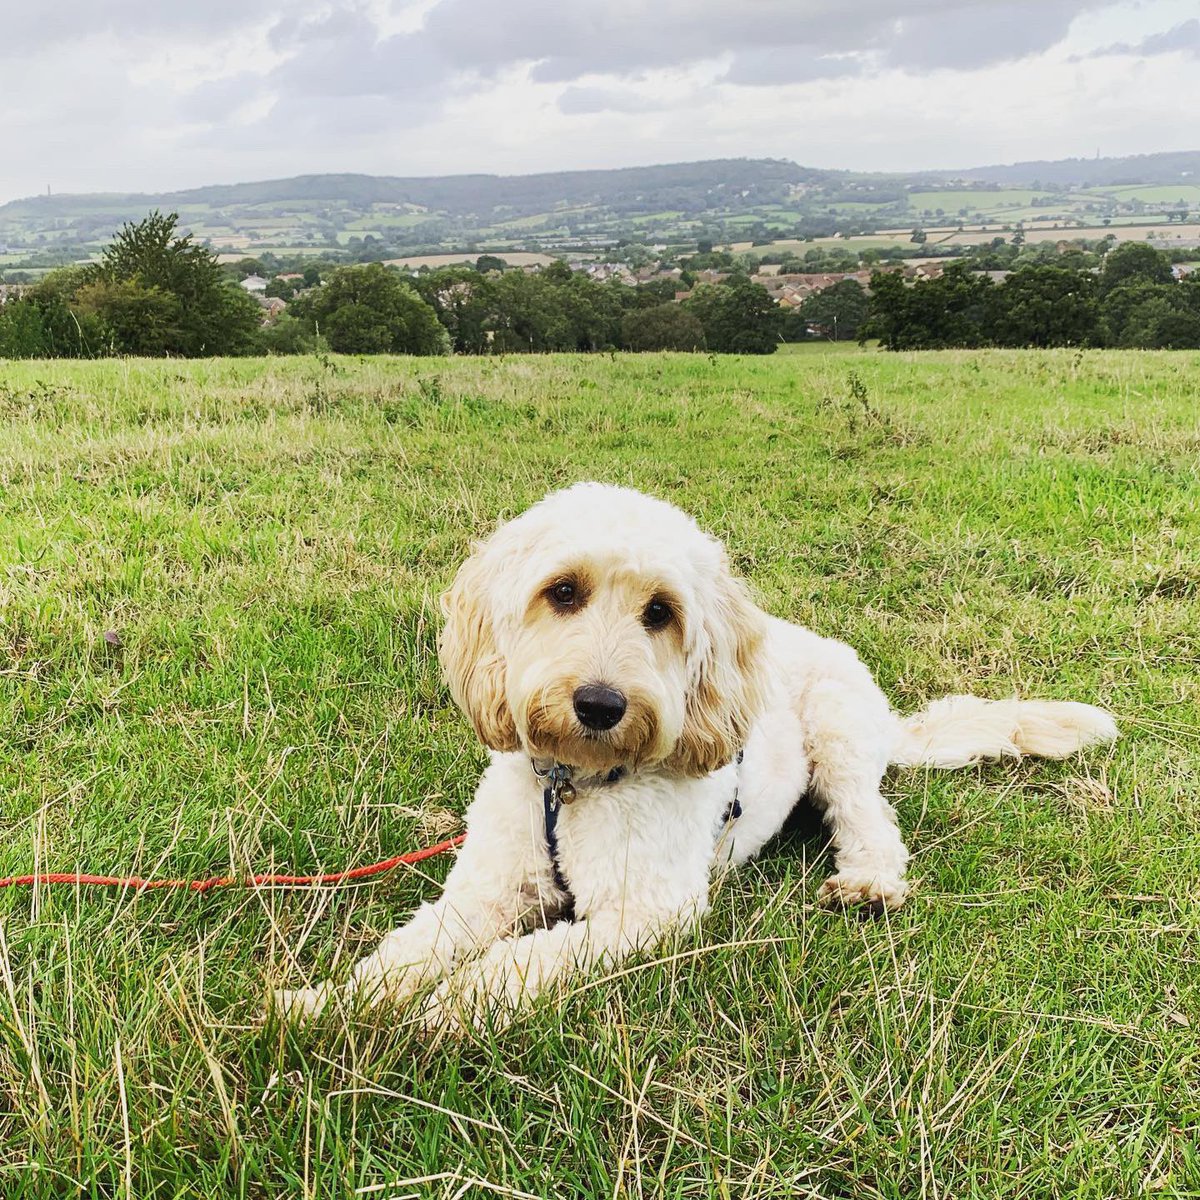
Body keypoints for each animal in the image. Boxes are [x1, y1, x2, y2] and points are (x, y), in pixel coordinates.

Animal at [276, 484, 1118, 1032]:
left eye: (660, 613)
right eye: (563, 591)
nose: (601, 704)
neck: (575, 786)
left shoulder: (645, 909)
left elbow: (522, 961)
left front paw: (448, 1009)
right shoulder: (482, 890)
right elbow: (404, 952)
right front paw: (322, 1006)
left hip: (838, 733)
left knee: (870, 819)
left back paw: (868, 884)